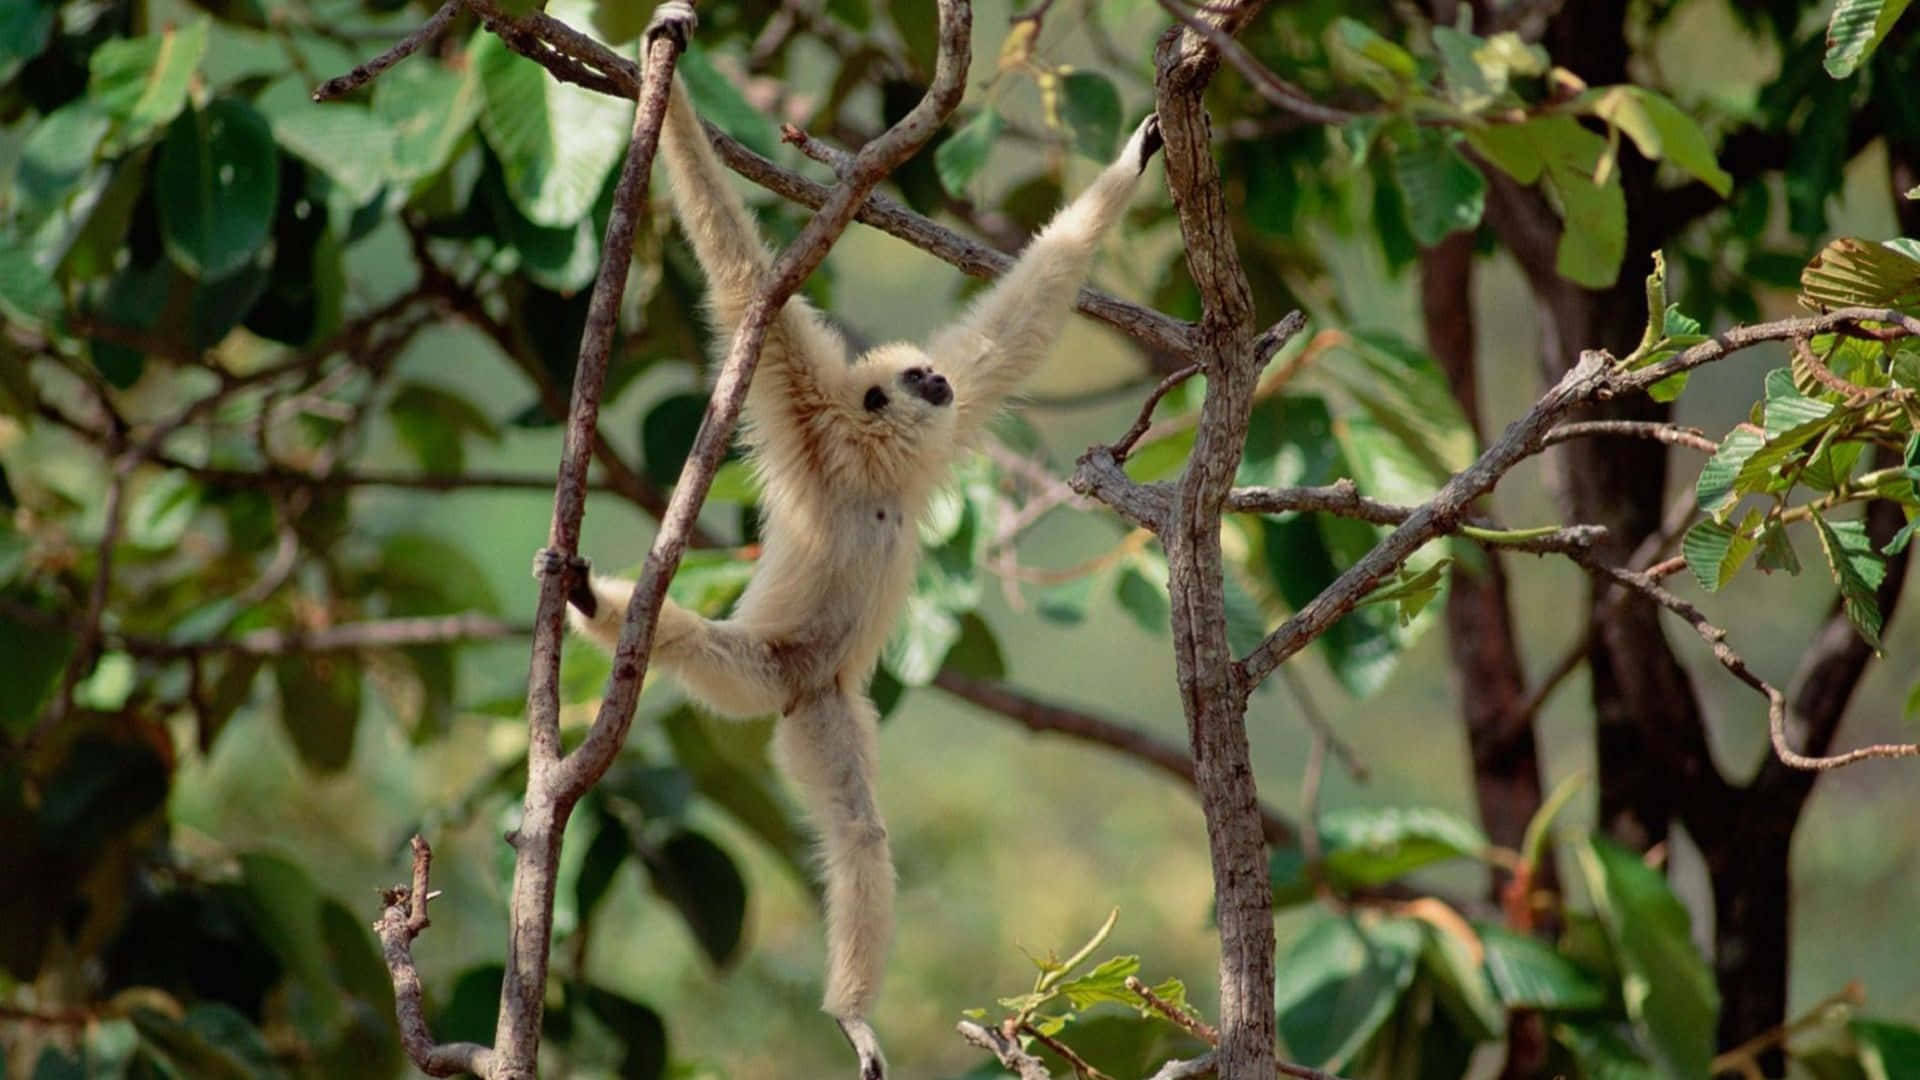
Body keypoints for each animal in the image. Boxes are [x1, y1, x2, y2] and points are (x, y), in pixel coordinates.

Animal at [539, 5, 1162, 1075]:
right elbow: (743, 275)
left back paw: (853, 1008)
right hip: (767, 679)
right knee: (695, 648)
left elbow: (1018, 326)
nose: (934, 383)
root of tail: (804, 682)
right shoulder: (803, 400)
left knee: (861, 839)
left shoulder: (946, 426)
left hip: (826, 708)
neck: (875, 469)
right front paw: (668, 74)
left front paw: (1138, 153)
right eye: (911, 379)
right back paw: (589, 605)